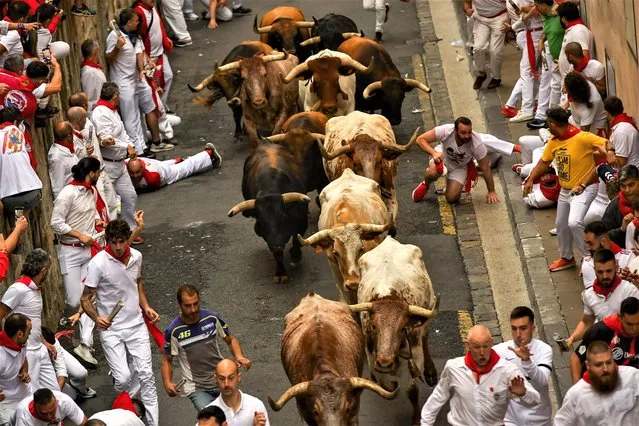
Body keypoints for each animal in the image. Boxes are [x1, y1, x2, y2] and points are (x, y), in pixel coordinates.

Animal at [229, 144, 312, 282]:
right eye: (261, 221)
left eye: (283, 217)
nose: (277, 245)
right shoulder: (269, 237)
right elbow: (277, 254)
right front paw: (280, 273)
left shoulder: (302, 220)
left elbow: (297, 239)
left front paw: (295, 256)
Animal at [350, 236, 440, 426]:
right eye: (374, 326)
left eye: (401, 328)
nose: (385, 362)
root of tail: (389, 240)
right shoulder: (373, 359)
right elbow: (387, 385)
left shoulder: (414, 355)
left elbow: (412, 390)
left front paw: (416, 419)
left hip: (427, 310)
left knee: (425, 336)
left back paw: (430, 372)